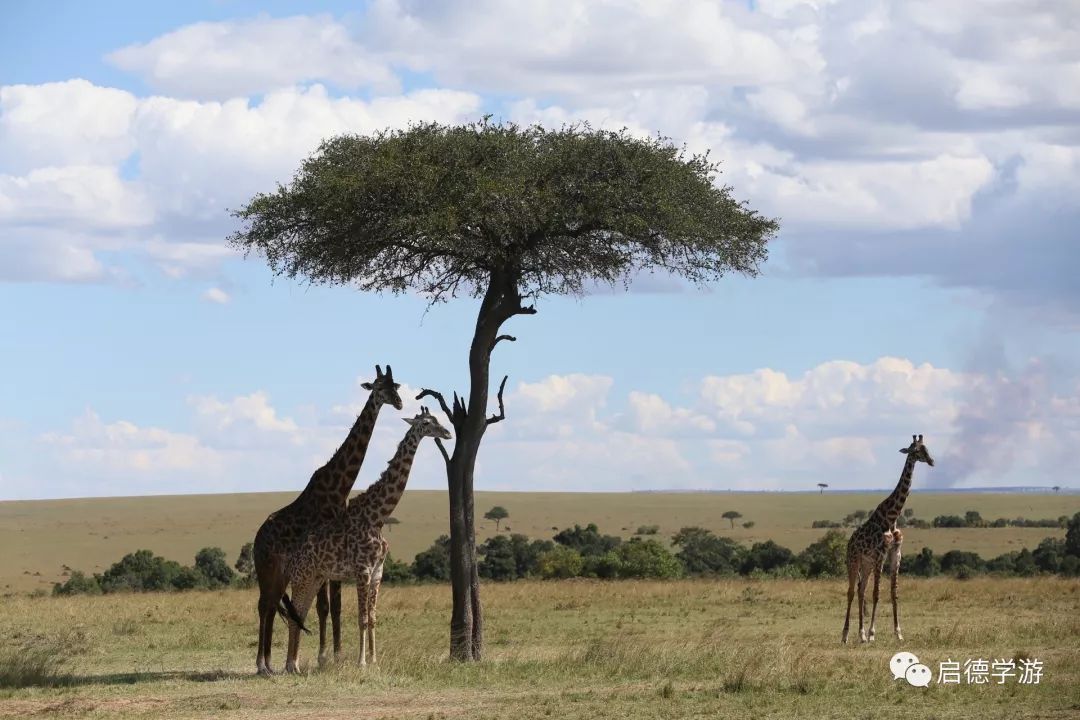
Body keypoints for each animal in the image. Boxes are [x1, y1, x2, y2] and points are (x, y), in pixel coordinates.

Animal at [252, 367, 406, 677]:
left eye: (395, 385)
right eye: (379, 387)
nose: (398, 402)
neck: (339, 488)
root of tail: (255, 541)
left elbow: (333, 608)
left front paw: (335, 655)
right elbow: (325, 607)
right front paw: (326, 656)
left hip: (281, 573)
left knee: (272, 606)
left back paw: (270, 663)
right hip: (267, 569)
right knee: (264, 606)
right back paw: (262, 664)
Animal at [280, 408, 453, 673]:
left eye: (438, 419)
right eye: (426, 423)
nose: (447, 433)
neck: (378, 517)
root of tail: (292, 557)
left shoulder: (377, 572)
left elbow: (372, 618)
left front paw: (374, 661)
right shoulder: (362, 570)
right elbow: (361, 618)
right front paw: (361, 662)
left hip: (315, 578)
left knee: (300, 613)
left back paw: (294, 664)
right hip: (302, 577)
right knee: (294, 614)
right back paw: (291, 666)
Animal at [838, 431, 933, 643]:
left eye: (927, 448)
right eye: (916, 451)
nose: (932, 461)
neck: (892, 517)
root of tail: (849, 543)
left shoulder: (895, 553)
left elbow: (893, 592)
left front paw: (898, 632)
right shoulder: (880, 554)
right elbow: (877, 593)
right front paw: (873, 633)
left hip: (866, 564)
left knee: (860, 589)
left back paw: (861, 634)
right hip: (854, 560)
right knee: (851, 592)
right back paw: (846, 635)